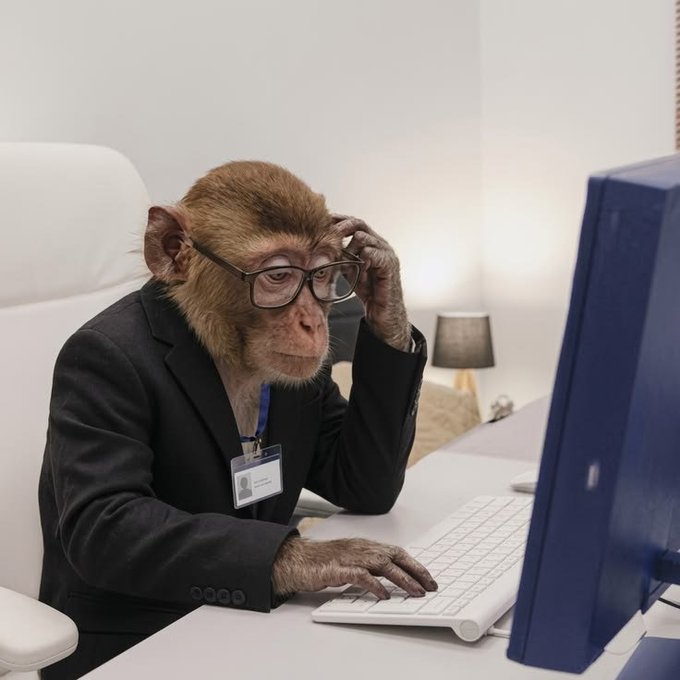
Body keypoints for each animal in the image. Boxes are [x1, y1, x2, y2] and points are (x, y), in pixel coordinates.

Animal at [38, 160, 435, 680]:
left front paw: (377, 264)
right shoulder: (100, 367)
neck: (222, 349)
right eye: (279, 275)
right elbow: (105, 517)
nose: (314, 321)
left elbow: (360, 482)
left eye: (327, 273)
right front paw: (327, 555)